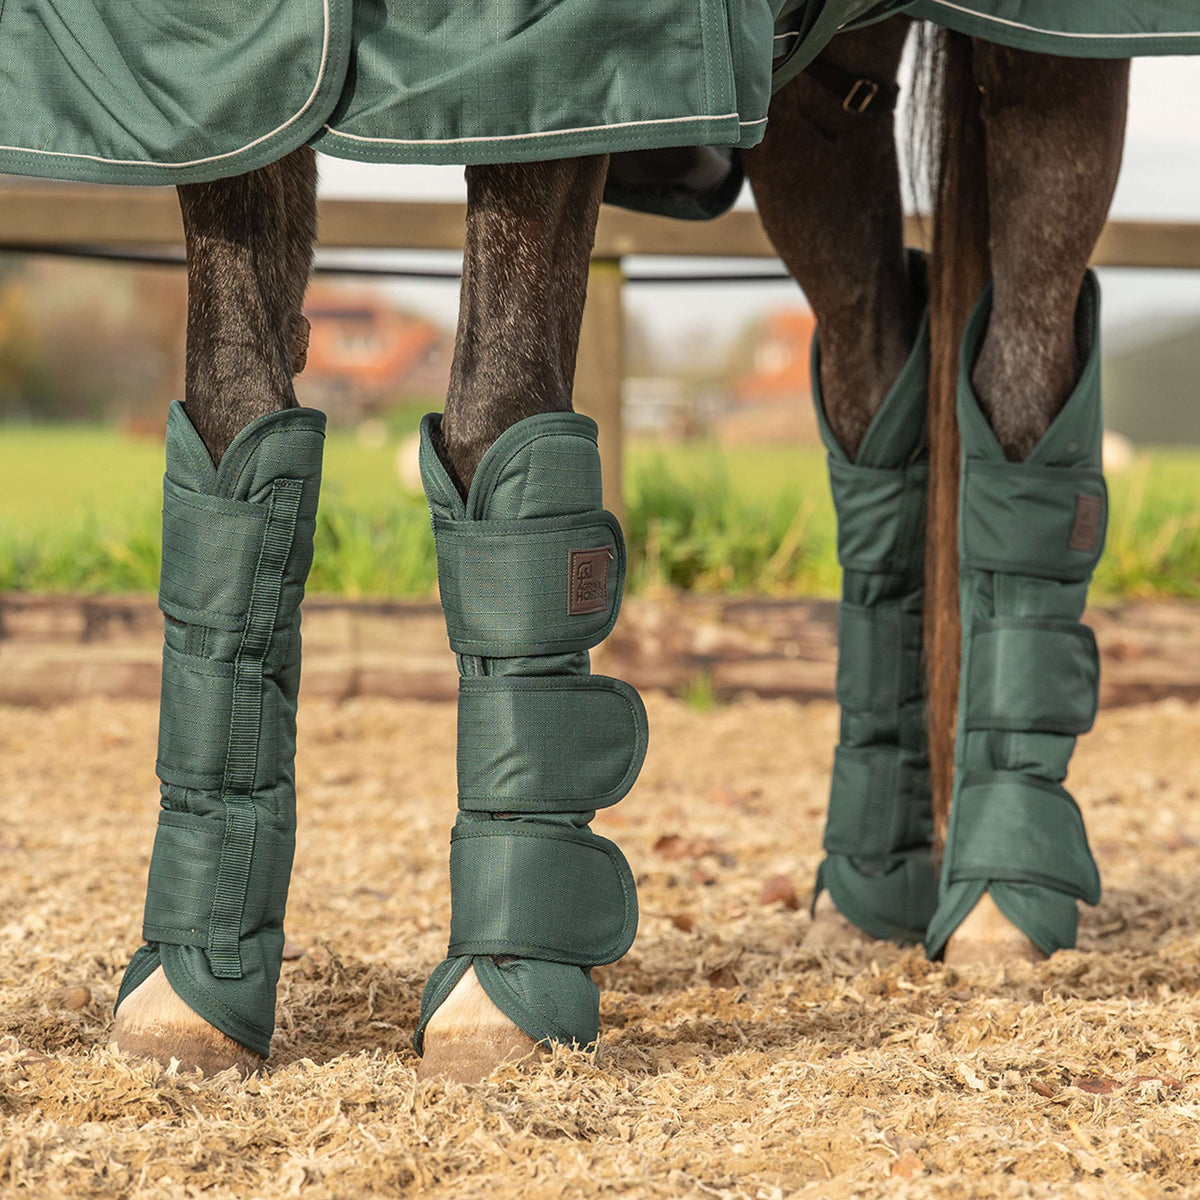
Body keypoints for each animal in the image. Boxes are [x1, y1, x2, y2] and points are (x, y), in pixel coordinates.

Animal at [0, 3, 1182, 1083]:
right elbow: (234, 410)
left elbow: (497, 405)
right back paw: (868, 889)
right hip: (816, 105)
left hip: (1047, 62)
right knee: (878, 375)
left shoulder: (551, 76)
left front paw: (501, 988)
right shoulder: (220, 95)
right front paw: (189, 986)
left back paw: (1002, 896)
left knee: (1021, 382)